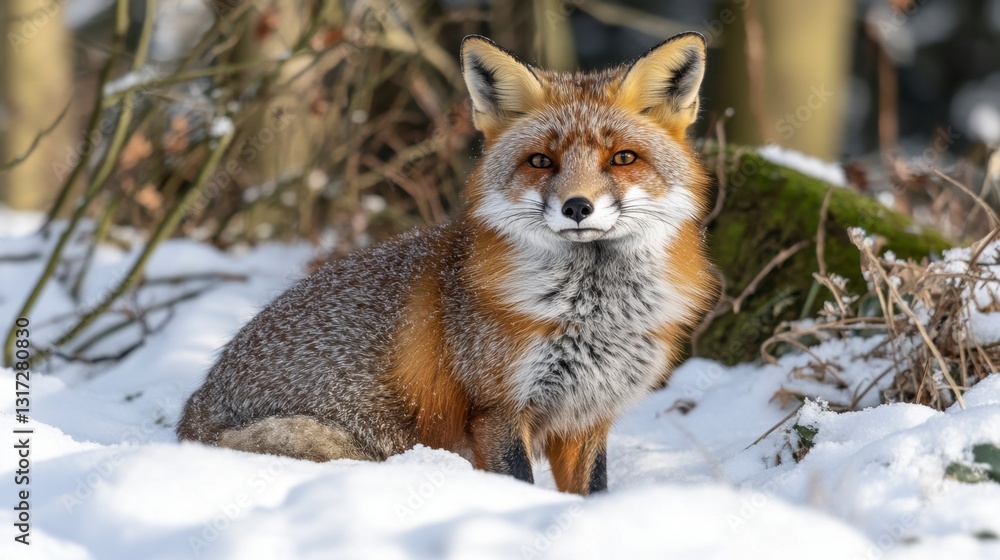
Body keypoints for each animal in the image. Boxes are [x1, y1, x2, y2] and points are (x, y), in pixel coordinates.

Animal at [177, 32, 718, 495]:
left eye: (622, 158)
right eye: (541, 161)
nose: (577, 206)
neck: (594, 314)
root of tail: (188, 424)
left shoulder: (586, 417)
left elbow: (593, 492)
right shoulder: (497, 409)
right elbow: (519, 482)